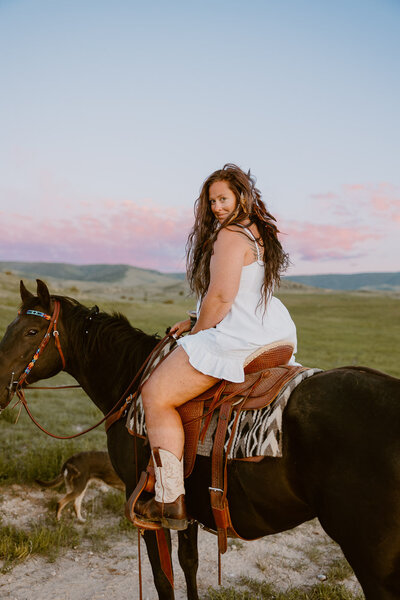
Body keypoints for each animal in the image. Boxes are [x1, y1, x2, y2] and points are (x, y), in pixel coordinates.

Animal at [0, 278, 400, 596]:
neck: (134, 382)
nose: (0, 386)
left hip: (372, 561)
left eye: (31, 332)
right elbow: (188, 564)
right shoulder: (184, 510)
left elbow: (164, 578)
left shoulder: (146, 509)